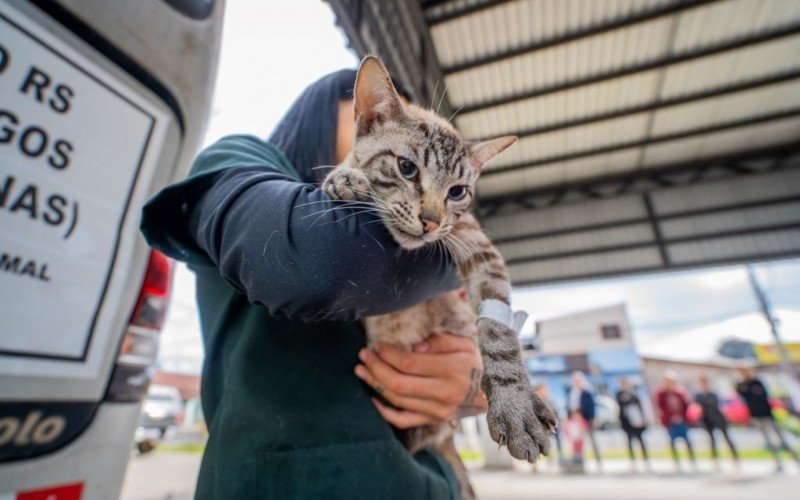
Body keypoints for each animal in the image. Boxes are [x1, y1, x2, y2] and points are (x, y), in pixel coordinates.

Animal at [320, 57, 556, 492]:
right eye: (406, 168)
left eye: (458, 192)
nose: (431, 221)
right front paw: (347, 177)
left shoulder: (476, 245)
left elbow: (498, 331)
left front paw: (515, 406)